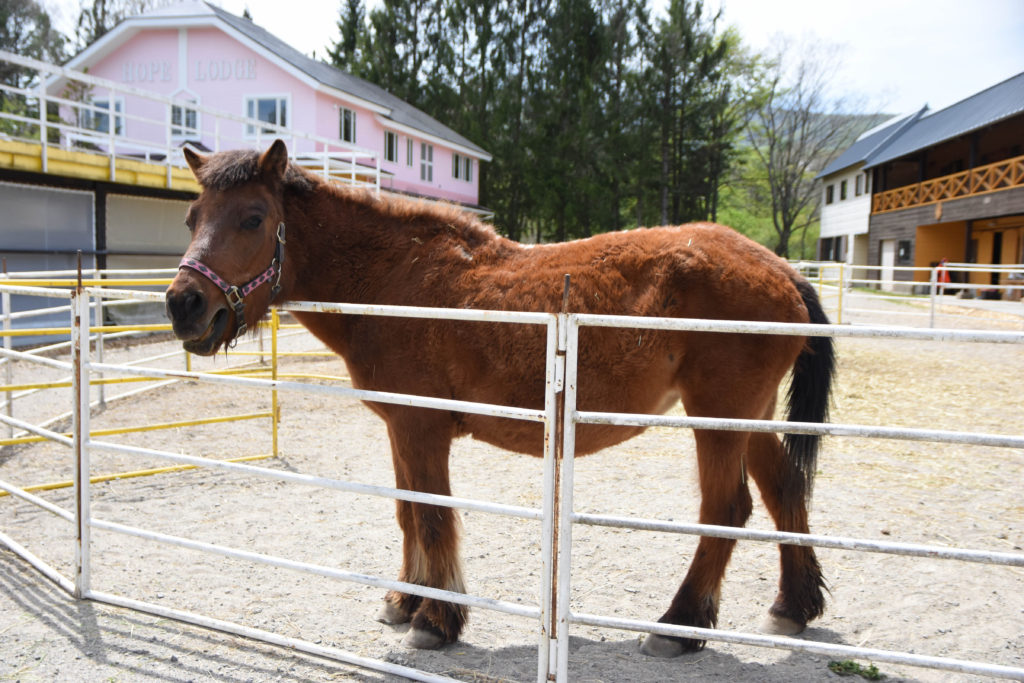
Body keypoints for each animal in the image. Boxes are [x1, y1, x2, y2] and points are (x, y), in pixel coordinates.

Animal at [165, 139, 831, 655]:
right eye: (192, 218)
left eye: (253, 218)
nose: (183, 305)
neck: (394, 280)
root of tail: (782, 270)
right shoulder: (400, 429)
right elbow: (408, 511)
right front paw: (406, 600)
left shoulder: (422, 429)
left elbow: (433, 516)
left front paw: (437, 621)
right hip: (750, 418)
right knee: (784, 492)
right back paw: (791, 609)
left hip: (718, 419)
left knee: (726, 509)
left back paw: (679, 625)